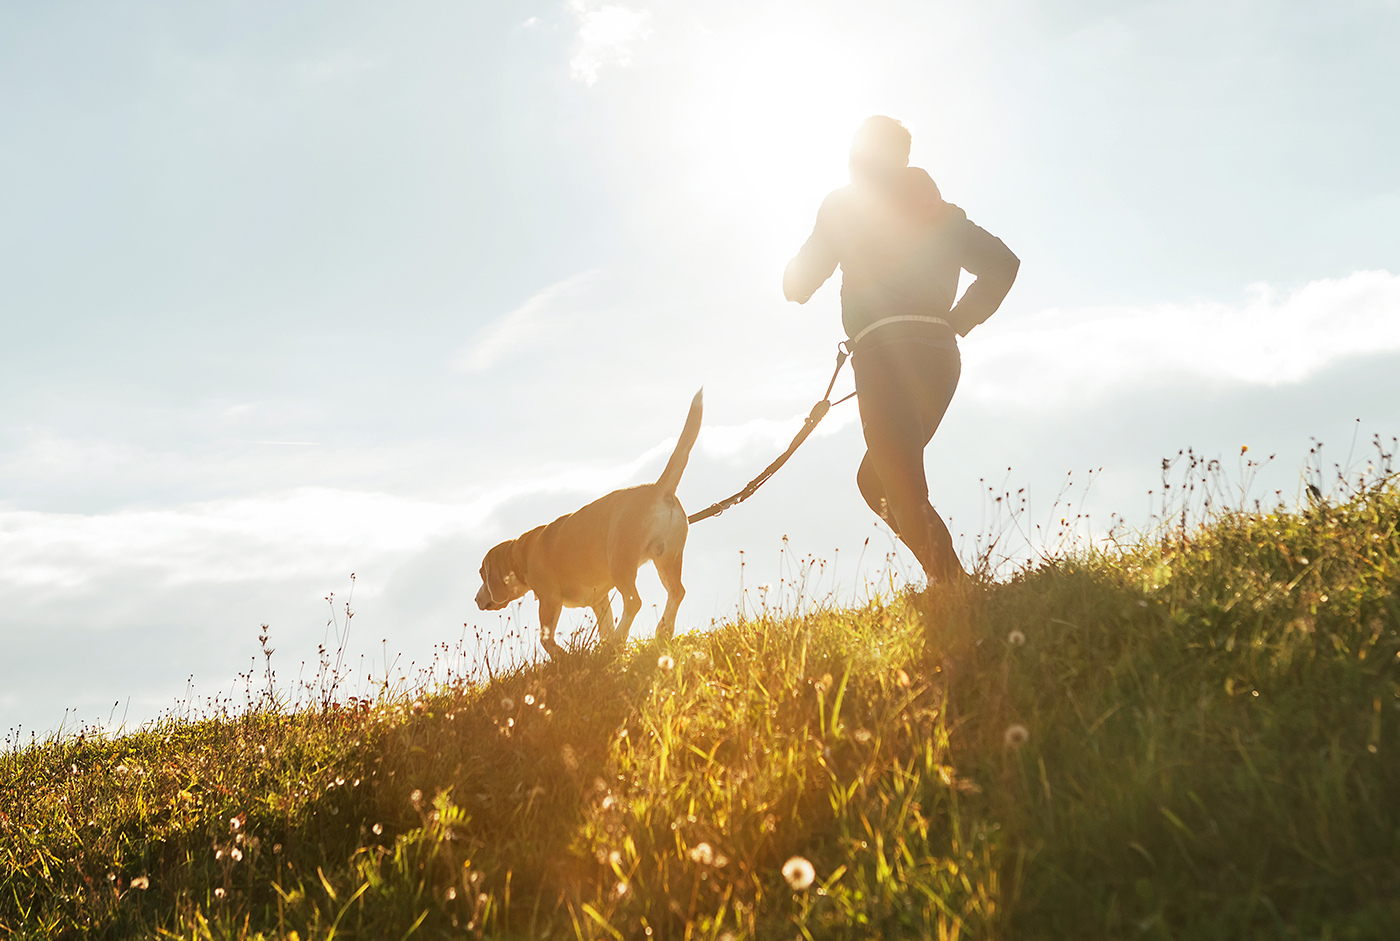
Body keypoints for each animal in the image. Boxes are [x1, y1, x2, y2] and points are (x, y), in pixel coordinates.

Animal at [478, 392, 700, 660]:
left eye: (482, 574)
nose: (476, 600)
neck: (520, 554)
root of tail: (658, 489)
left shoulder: (549, 600)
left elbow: (546, 639)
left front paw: (564, 657)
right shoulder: (600, 600)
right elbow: (604, 627)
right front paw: (604, 651)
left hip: (621, 561)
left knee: (634, 601)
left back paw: (621, 637)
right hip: (668, 559)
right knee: (676, 592)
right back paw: (661, 631)